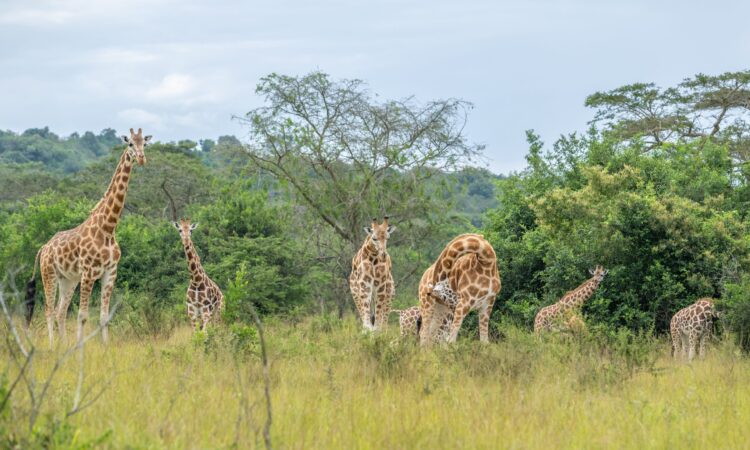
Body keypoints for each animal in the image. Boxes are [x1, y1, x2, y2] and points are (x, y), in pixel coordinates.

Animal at [24, 128, 151, 346]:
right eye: (130, 144)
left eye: (145, 143)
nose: (141, 158)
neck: (108, 228)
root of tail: (44, 247)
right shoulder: (89, 272)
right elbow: (82, 315)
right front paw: (80, 347)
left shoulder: (110, 272)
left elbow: (104, 316)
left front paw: (105, 348)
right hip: (48, 273)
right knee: (49, 311)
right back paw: (52, 347)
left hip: (68, 279)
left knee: (60, 311)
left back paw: (63, 345)